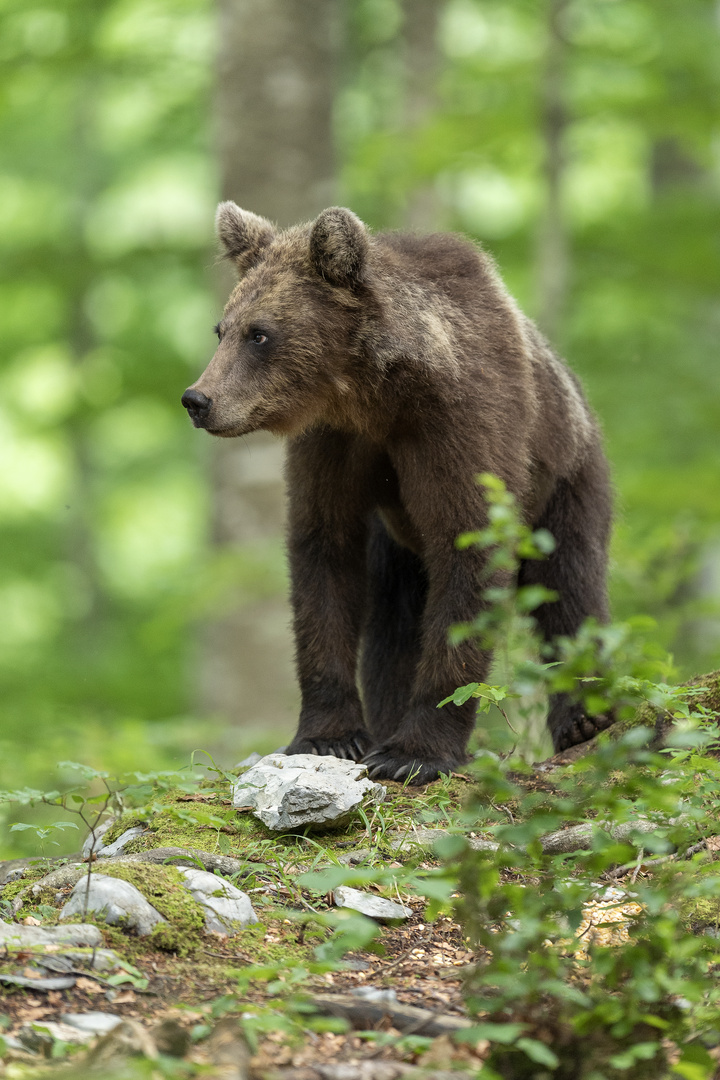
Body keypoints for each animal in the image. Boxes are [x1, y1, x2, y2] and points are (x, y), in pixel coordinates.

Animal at [183, 203, 613, 781]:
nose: (197, 399)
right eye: (221, 329)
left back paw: (585, 718)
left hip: (566, 476)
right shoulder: (335, 445)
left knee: (568, 584)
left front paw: (415, 752)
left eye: (260, 334)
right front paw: (331, 736)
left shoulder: (466, 425)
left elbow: (470, 555)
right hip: (396, 543)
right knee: (394, 623)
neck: (378, 395)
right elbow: (324, 555)